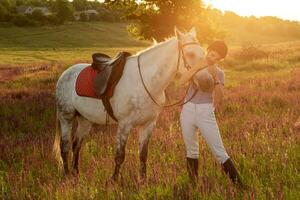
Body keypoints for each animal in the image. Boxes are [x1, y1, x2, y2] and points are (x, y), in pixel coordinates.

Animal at [53, 27, 204, 180]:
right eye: (190, 54)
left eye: (203, 54)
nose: (204, 80)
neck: (146, 82)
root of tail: (65, 73)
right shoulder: (125, 124)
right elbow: (120, 155)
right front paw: (114, 180)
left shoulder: (148, 124)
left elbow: (143, 155)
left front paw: (143, 180)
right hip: (66, 117)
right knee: (65, 147)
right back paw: (67, 176)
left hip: (85, 120)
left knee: (76, 145)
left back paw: (76, 174)